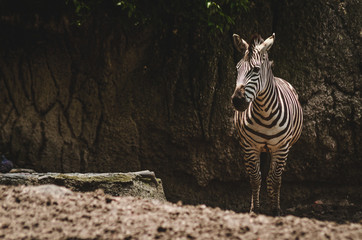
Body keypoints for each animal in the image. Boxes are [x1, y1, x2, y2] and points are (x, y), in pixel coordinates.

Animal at [230, 32, 304, 215]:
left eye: (256, 70)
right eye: (237, 68)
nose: (237, 101)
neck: (264, 113)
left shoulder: (281, 147)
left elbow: (275, 179)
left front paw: (275, 209)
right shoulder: (250, 146)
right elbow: (255, 178)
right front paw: (255, 209)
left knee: (273, 176)